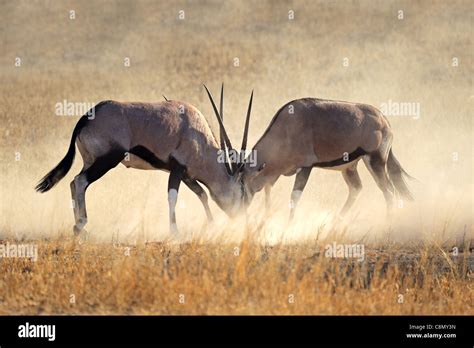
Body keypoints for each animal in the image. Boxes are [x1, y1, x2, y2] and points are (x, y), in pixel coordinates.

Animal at [35, 85, 254, 235]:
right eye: (242, 192)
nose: (240, 217)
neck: (198, 135)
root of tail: (87, 116)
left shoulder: (187, 175)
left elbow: (202, 194)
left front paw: (211, 224)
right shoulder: (178, 169)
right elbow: (173, 196)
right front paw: (175, 231)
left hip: (90, 161)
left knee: (74, 182)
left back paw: (80, 226)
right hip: (106, 161)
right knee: (80, 181)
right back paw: (80, 224)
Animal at [239, 96, 412, 219]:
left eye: (241, 184)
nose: (238, 209)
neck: (286, 128)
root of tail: (384, 119)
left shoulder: (305, 166)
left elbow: (294, 196)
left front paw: (288, 226)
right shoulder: (276, 171)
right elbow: (268, 188)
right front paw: (266, 219)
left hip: (375, 160)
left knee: (388, 190)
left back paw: (387, 224)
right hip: (349, 167)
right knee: (356, 187)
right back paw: (337, 220)